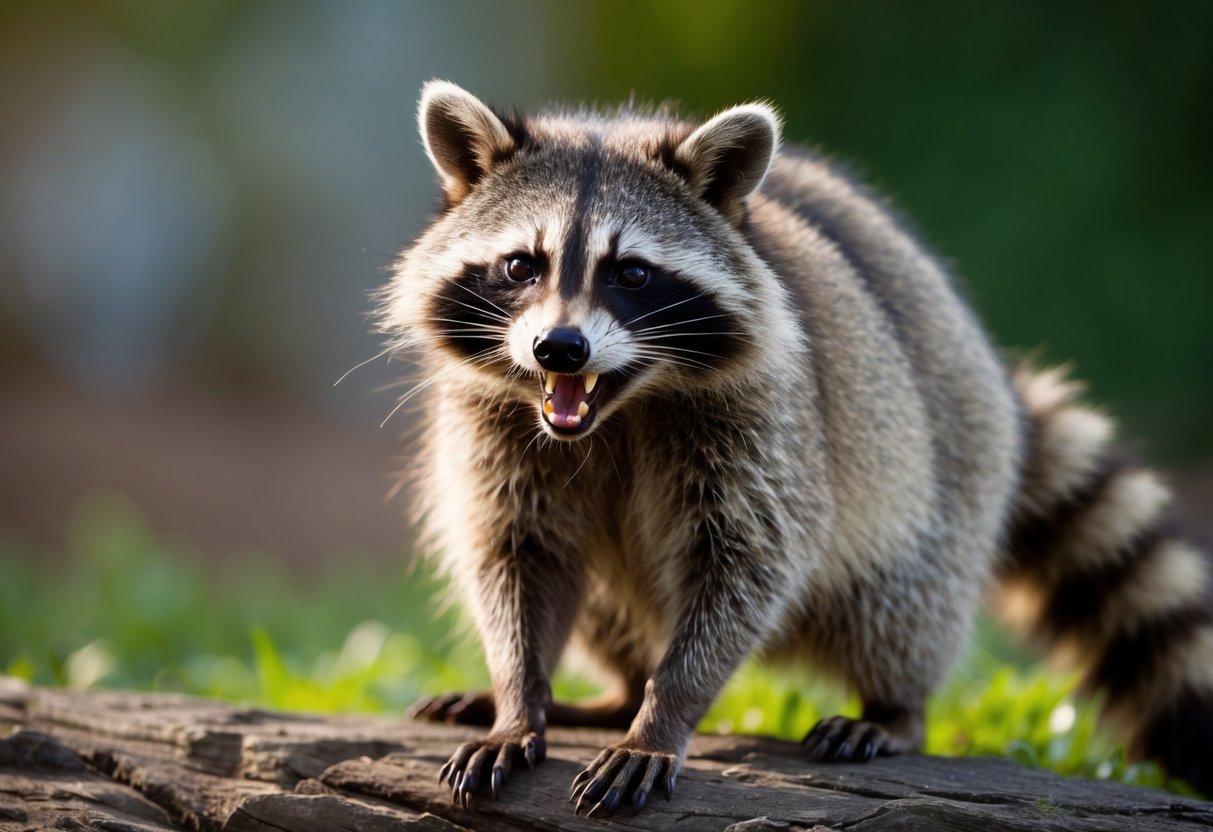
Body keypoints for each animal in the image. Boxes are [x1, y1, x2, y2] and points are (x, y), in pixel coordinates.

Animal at [380, 80, 1213, 814]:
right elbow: (516, 555)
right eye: (522, 264)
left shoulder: (765, 423)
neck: (620, 406)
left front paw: (664, 713)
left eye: (633, 273)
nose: (559, 349)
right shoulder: (496, 424)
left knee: (899, 598)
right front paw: (520, 699)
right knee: (603, 602)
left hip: (948, 465)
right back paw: (613, 692)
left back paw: (892, 706)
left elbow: (747, 564)